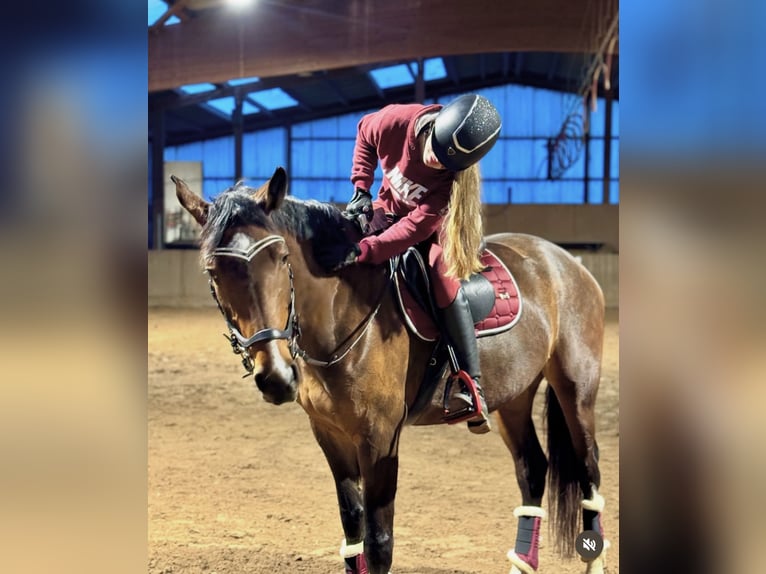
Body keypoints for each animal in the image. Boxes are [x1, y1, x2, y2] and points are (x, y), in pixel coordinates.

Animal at [172, 166, 609, 574]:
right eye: (213, 271)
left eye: (280, 258)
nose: (277, 377)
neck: (343, 315)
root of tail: (563, 261)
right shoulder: (329, 433)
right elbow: (352, 530)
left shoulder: (379, 438)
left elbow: (379, 542)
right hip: (513, 397)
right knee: (533, 469)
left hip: (576, 390)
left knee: (588, 469)